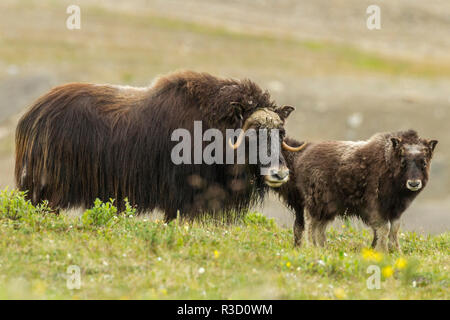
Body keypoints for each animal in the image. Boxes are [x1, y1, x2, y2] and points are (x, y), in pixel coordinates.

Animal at [14, 70, 304, 220]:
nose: (280, 173)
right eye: (253, 134)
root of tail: (32, 113)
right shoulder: (180, 194)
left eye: (280, 133)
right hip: (50, 189)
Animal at [276, 129, 438, 251]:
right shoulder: (376, 207)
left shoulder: (395, 210)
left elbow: (394, 229)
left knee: (319, 228)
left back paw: (322, 248)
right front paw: (383, 252)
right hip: (316, 203)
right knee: (311, 225)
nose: (414, 183)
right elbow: (384, 229)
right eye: (403, 161)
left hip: (328, 209)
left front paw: (396, 251)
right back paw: (312, 247)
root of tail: (302, 158)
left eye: (423, 162)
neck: (389, 166)